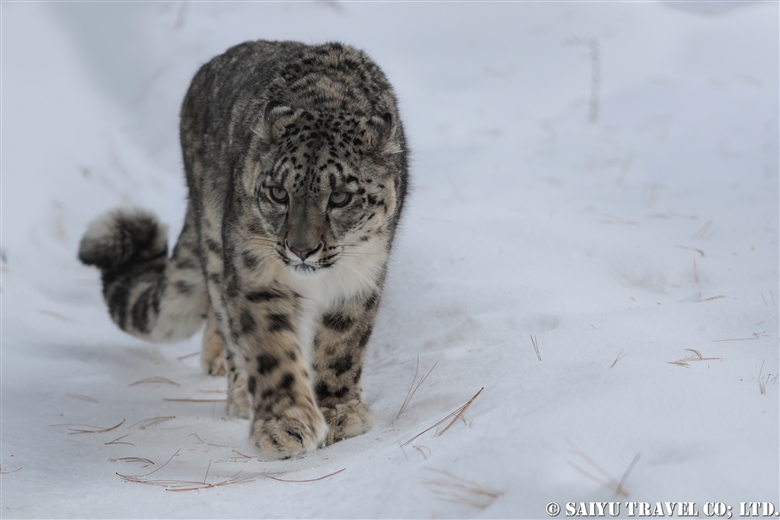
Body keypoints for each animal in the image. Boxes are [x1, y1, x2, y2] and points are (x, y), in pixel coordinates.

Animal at [77, 40, 408, 458]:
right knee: (222, 313)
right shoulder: (257, 274)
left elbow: (343, 344)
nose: (301, 250)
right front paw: (285, 426)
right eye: (279, 192)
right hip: (218, 249)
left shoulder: (361, 274)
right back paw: (237, 390)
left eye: (340, 197)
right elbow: (270, 349)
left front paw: (339, 412)